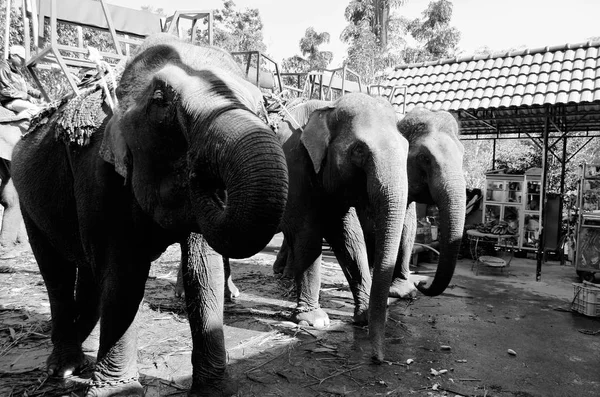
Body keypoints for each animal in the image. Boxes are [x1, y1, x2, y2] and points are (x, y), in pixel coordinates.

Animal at [11, 33, 288, 396]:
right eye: (160, 101)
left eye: (260, 105)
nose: (202, 173)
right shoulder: (98, 173)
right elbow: (123, 272)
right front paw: (119, 391)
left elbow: (204, 270)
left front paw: (214, 388)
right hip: (27, 199)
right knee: (56, 272)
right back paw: (64, 367)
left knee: (88, 273)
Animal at [276, 93, 408, 362]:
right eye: (359, 150)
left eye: (407, 147)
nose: (378, 358)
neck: (327, 107)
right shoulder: (293, 165)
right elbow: (308, 233)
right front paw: (314, 321)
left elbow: (349, 237)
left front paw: (364, 315)